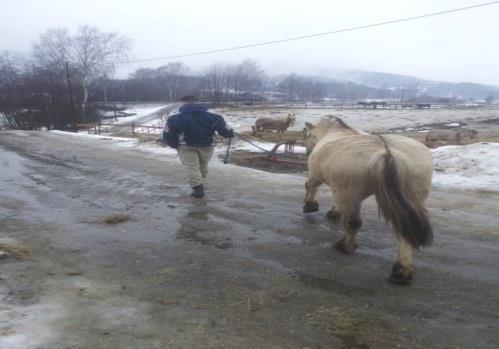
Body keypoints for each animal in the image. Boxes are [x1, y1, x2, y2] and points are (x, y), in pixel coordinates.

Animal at [300, 115, 434, 284]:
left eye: (306, 136)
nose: (307, 152)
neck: (335, 132)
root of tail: (387, 152)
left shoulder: (317, 176)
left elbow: (311, 186)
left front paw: (310, 205)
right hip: (412, 198)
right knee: (404, 229)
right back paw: (402, 270)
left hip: (349, 193)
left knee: (352, 223)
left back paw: (345, 247)